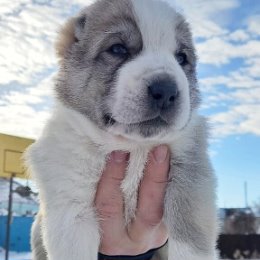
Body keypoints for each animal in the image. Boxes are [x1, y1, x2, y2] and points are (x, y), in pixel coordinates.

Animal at [25, 0, 218, 258]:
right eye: (118, 49)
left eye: (181, 57)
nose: (166, 90)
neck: (132, 147)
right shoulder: (71, 210)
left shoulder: (193, 179)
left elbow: (189, 242)